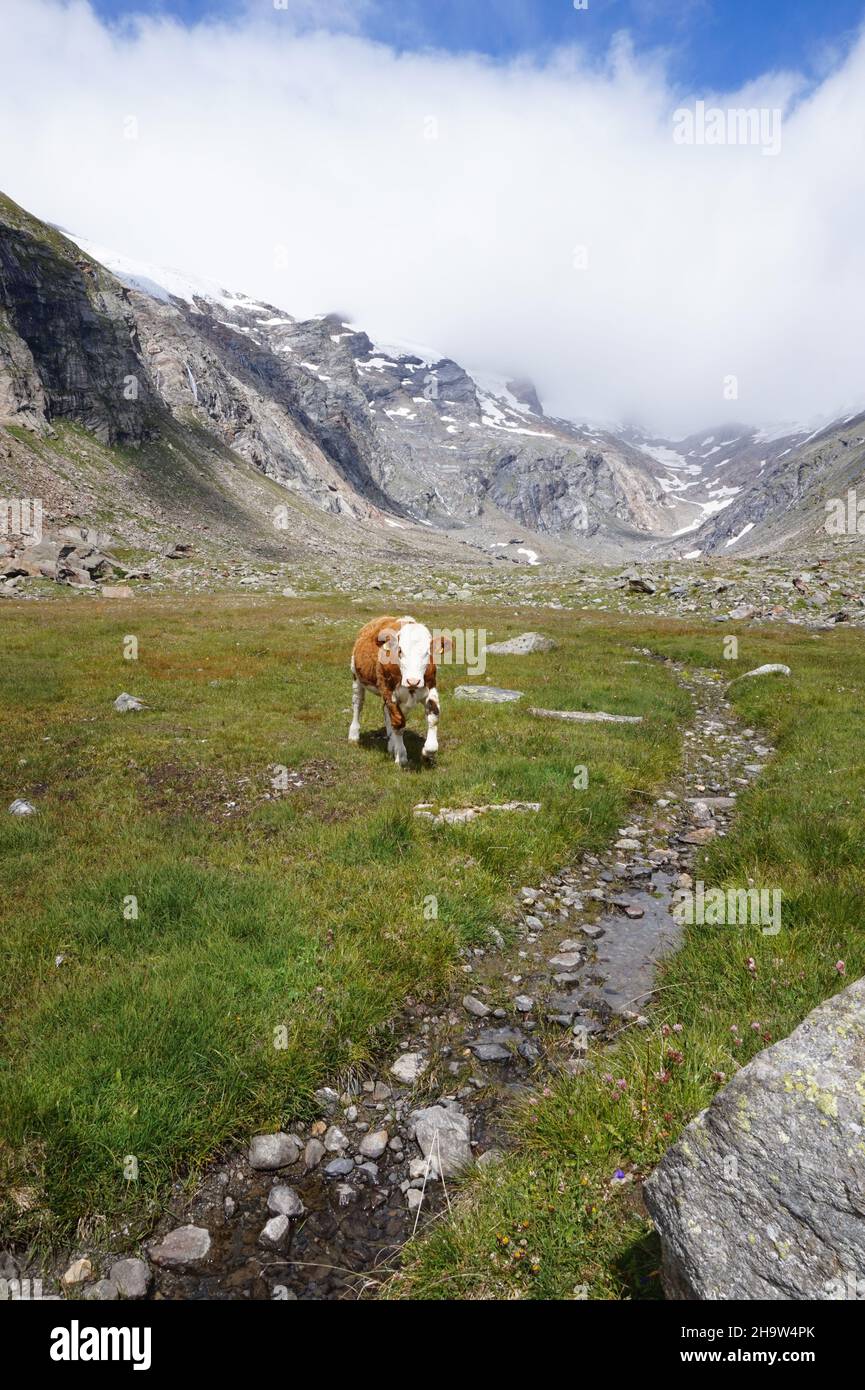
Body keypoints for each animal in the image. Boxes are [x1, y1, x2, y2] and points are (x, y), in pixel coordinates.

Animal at [349, 617, 450, 772]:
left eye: (428, 652)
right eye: (400, 651)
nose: (413, 681)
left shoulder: (431, 687)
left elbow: (434, 716)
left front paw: (427, 753)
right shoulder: (388, 690)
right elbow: (398, 721)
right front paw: (401, 756)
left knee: (386, 712)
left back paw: (391, 745)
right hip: (357, 677)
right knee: (358, 704)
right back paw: (354, 735)